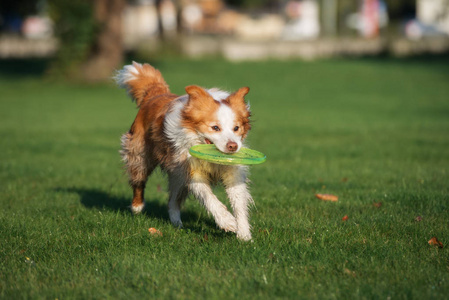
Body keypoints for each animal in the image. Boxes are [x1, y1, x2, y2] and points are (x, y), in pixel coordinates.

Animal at [114, 62, 254, 240]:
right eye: (215, 127)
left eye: (236, 128)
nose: (233, 146)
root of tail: (155, 95)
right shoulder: (190, 169)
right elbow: (209, 197)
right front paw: (227, 222)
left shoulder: (231, 170)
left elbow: (238, 201)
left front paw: (244, 234)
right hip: (140, 155)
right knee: (139, 180)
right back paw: (137, 207)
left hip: (176, 175)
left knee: (172, 201)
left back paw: (177, 223)